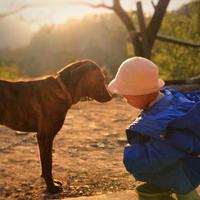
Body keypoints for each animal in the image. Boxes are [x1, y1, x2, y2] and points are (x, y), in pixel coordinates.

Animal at [0, 59, 111, 192]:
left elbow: (48, 162)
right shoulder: (44, 136)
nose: (110, 97)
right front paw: (51, 187)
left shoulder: (47, 137)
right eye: (100, 79)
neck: (63, 89)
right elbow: (48, 163)